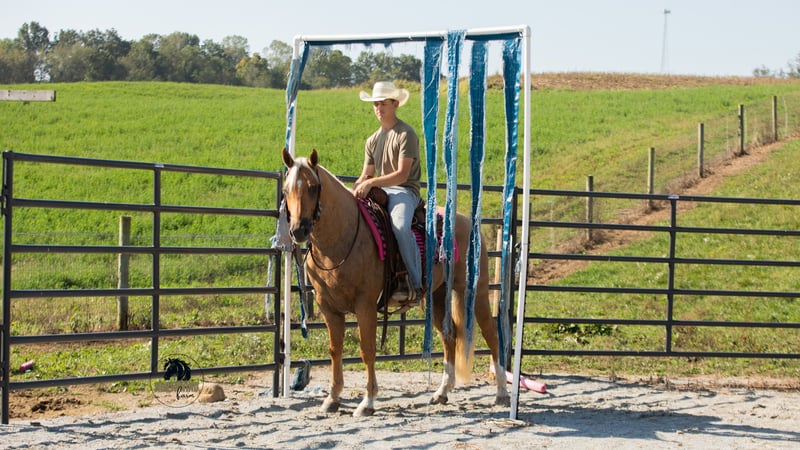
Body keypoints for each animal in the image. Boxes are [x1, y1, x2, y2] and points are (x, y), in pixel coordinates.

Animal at [281, 148, 509, 417]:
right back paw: (441, 392)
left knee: (491, 334)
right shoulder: (328, 306)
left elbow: (367, 350)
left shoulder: (366, 305)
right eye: (285, 189)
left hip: (475, 292)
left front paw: (367, 402)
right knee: (449, 336)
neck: (341, 238)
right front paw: (332, 398)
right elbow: (335, 351)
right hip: (438, 296)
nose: (298, 230)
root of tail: (467, 224)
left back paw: (502, 393)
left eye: (313, 187)